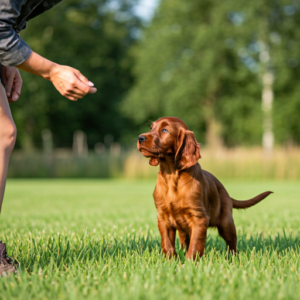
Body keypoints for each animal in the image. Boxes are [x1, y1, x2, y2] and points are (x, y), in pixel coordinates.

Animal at [137, 117, 274, 260]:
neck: (171, 174)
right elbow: (167, 242)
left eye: (165, 130)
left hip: (226, 222)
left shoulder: (199, 217)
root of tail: (226, 192)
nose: (140, 138)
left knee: (232, 241)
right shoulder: (163, 217)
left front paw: (190, 261)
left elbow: (196, 242)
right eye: (151, 128)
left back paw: (231, 258)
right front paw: (170, 260)